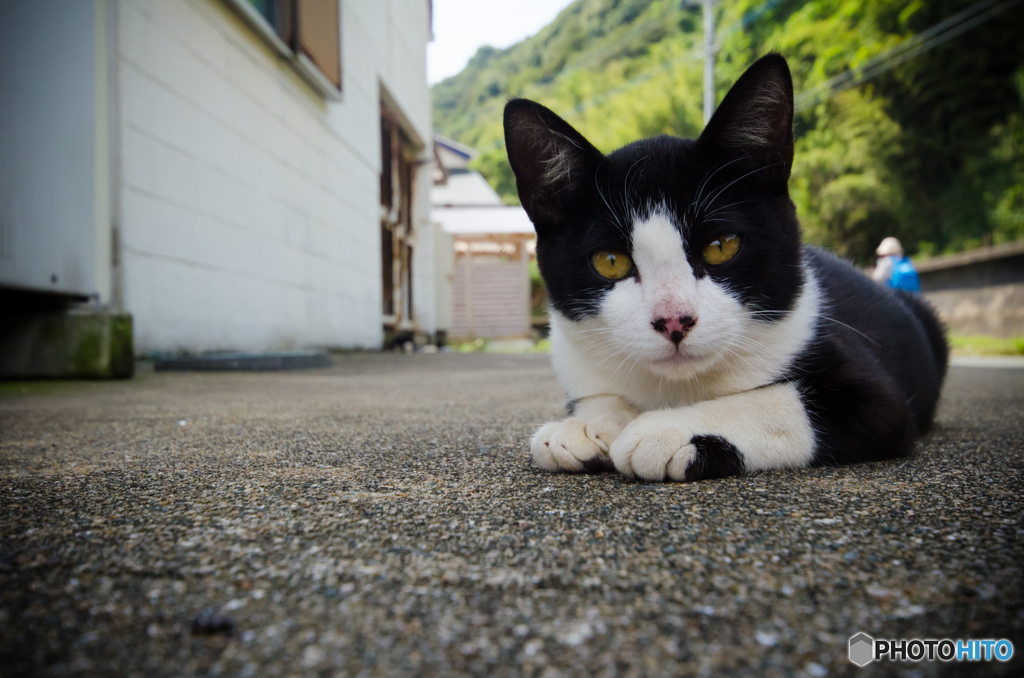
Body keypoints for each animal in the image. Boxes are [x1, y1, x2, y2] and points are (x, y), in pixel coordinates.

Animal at [501, 53, 942, 483]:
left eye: (721, 246)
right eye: (610, 262)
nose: (674, 321)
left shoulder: (877, 399)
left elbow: (781, 401)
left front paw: (664, 429)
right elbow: (600, 396)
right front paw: (588, 424)